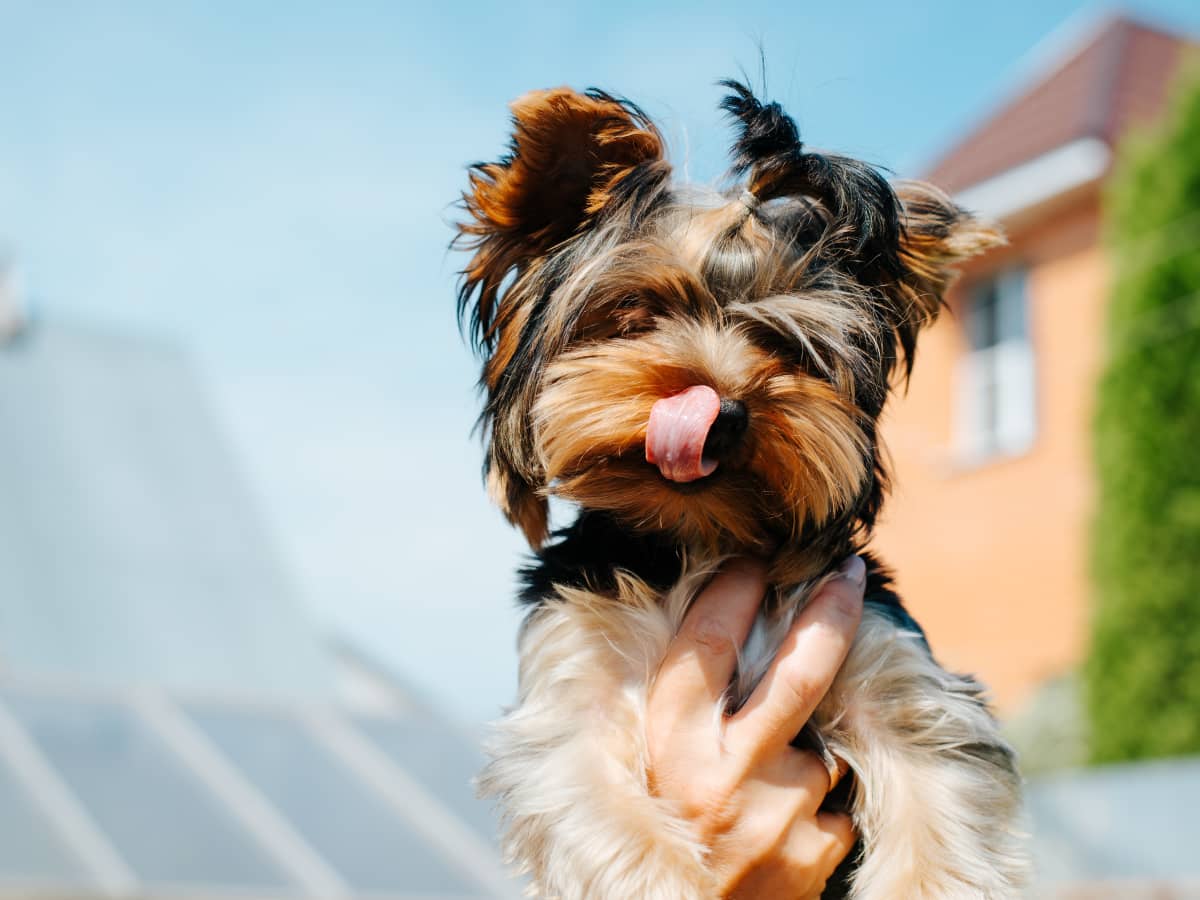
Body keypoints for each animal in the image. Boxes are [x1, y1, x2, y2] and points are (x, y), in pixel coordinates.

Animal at [453, 81, 1027, 897]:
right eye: (635, 314)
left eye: (790, 346)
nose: (718, 412)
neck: (698, 536)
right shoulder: (570, 689)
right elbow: (597, 809)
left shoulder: (891, 667)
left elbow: (938, 792)